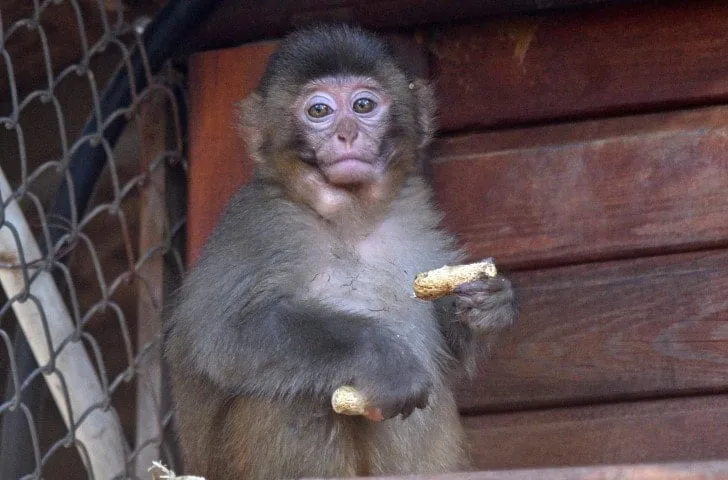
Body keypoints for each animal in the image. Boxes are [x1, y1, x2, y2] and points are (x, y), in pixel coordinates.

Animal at [165, 24, 516, 478]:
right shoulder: (260, 225)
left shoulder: (414, 213)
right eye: (319, 111)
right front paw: (383, 357)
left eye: (363, 105)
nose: (346, 134)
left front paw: (491, 304)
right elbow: (224, 336)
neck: (350, 219)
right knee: (286, 399)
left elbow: (449, 353)